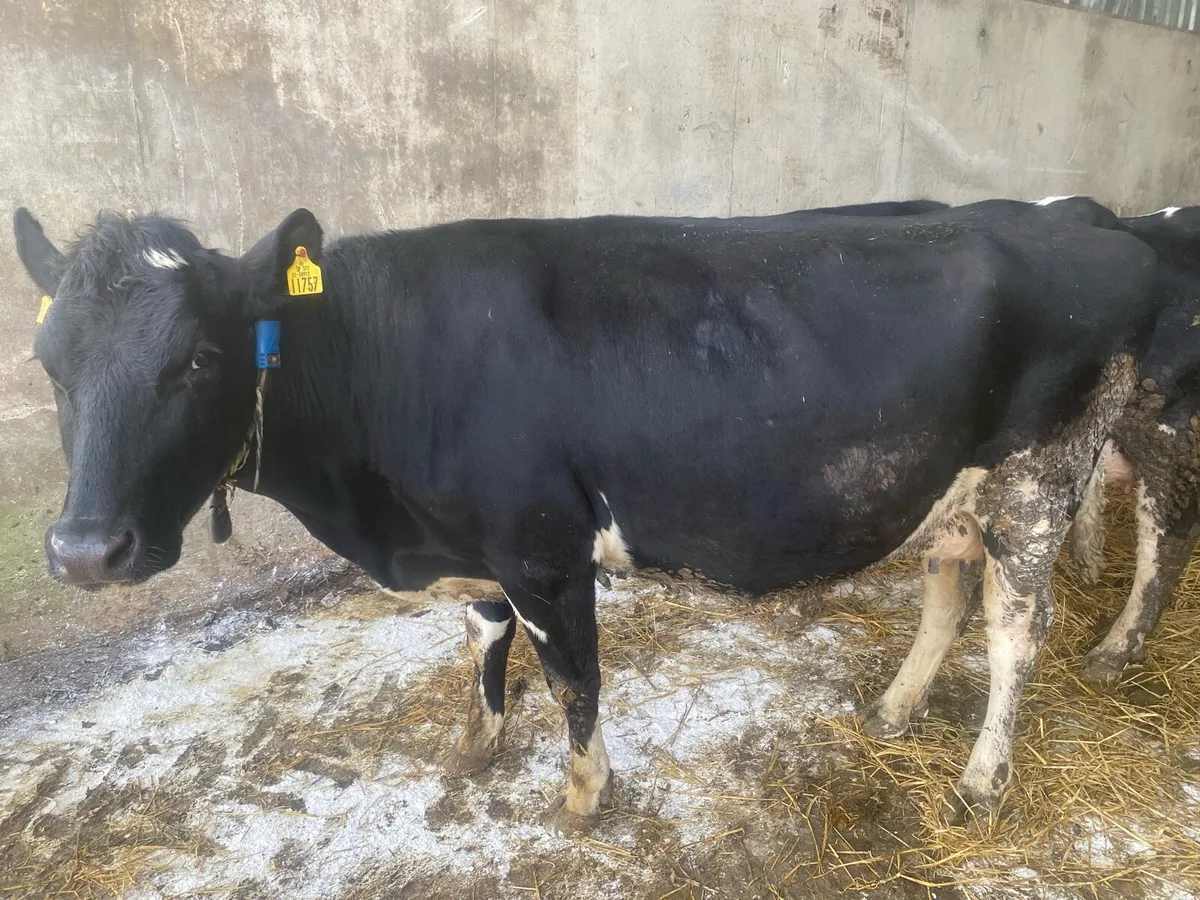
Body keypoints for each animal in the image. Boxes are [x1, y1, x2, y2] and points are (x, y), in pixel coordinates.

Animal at [12, 196, 1166, 828]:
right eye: (49, 363)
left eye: (199, 359)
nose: (84, 550)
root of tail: (1082, 224)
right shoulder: (473, 545)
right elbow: (482, 642)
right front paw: (477, 745)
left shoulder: (545, 550)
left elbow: (572, 678)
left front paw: (582, 795)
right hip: (954, 490)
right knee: (948, 587)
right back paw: (894, 708)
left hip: (1040, 477)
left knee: (1019, 631)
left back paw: (983, 776)